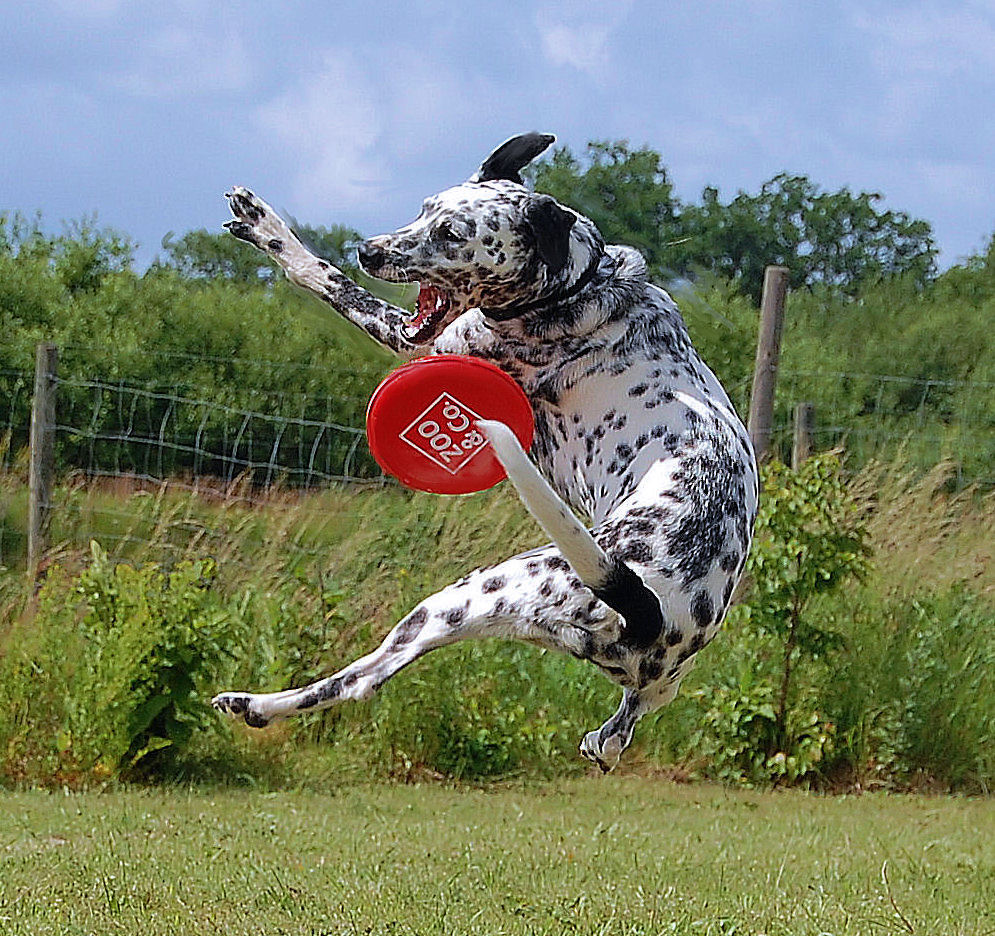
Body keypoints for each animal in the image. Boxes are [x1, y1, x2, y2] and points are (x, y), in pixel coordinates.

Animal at [210, 133, 756, 776]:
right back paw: (607, 737)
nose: (369, 251)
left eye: (452, 234)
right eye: (424, 208)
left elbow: (325, 278)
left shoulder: (421, 342)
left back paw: (254, 704)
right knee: (634, 715)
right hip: (645, 675)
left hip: (460, 600)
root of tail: (655, 612)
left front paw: (268, 227)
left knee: (362, 679)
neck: (582, 285)